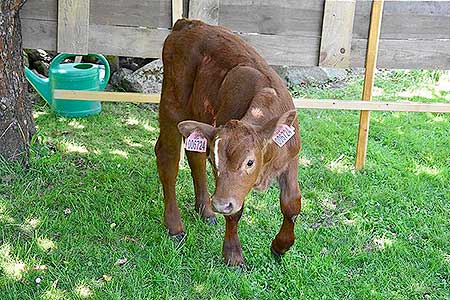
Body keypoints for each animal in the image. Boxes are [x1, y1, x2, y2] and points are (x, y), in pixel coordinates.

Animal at [156, 18, 302, 266]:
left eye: (250, 162)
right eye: (215, 164)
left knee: (194, 156)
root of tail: (187, 23)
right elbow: (235, 213)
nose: (219, 205)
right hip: (171, 106)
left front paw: (280, 246)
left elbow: (292, 204)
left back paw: (205, 211)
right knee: (168, 159)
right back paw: (175, 226)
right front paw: (233, 255)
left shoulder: (291, 158)